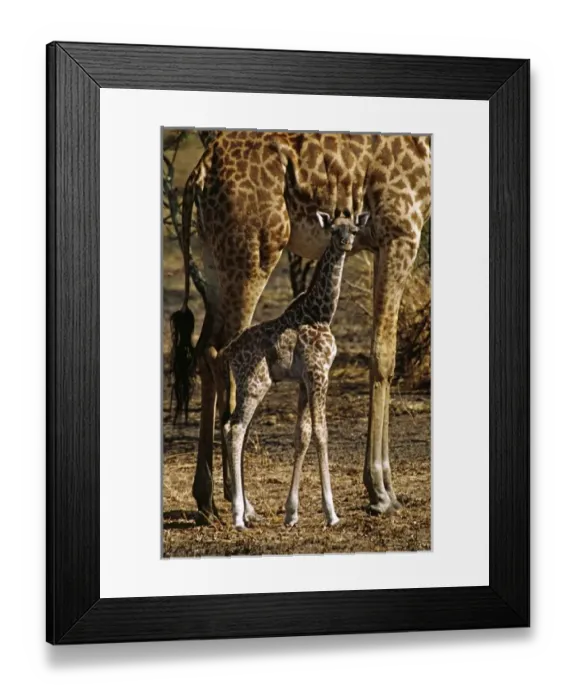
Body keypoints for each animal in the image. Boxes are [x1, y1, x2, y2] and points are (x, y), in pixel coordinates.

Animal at [214, 210, 369, 529]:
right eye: (333, 229)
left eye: (354, 229)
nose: (346, 243)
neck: (320, 313)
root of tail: (228, 352)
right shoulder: (319, 373)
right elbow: (321, 432)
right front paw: (331, 513)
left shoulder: (303, 380)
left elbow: (302, 434)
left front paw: (292, 513)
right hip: (255, 383)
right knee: (236, 428)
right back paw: (238, 515)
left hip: (253, 385)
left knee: (232, 428)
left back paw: (247, 510)